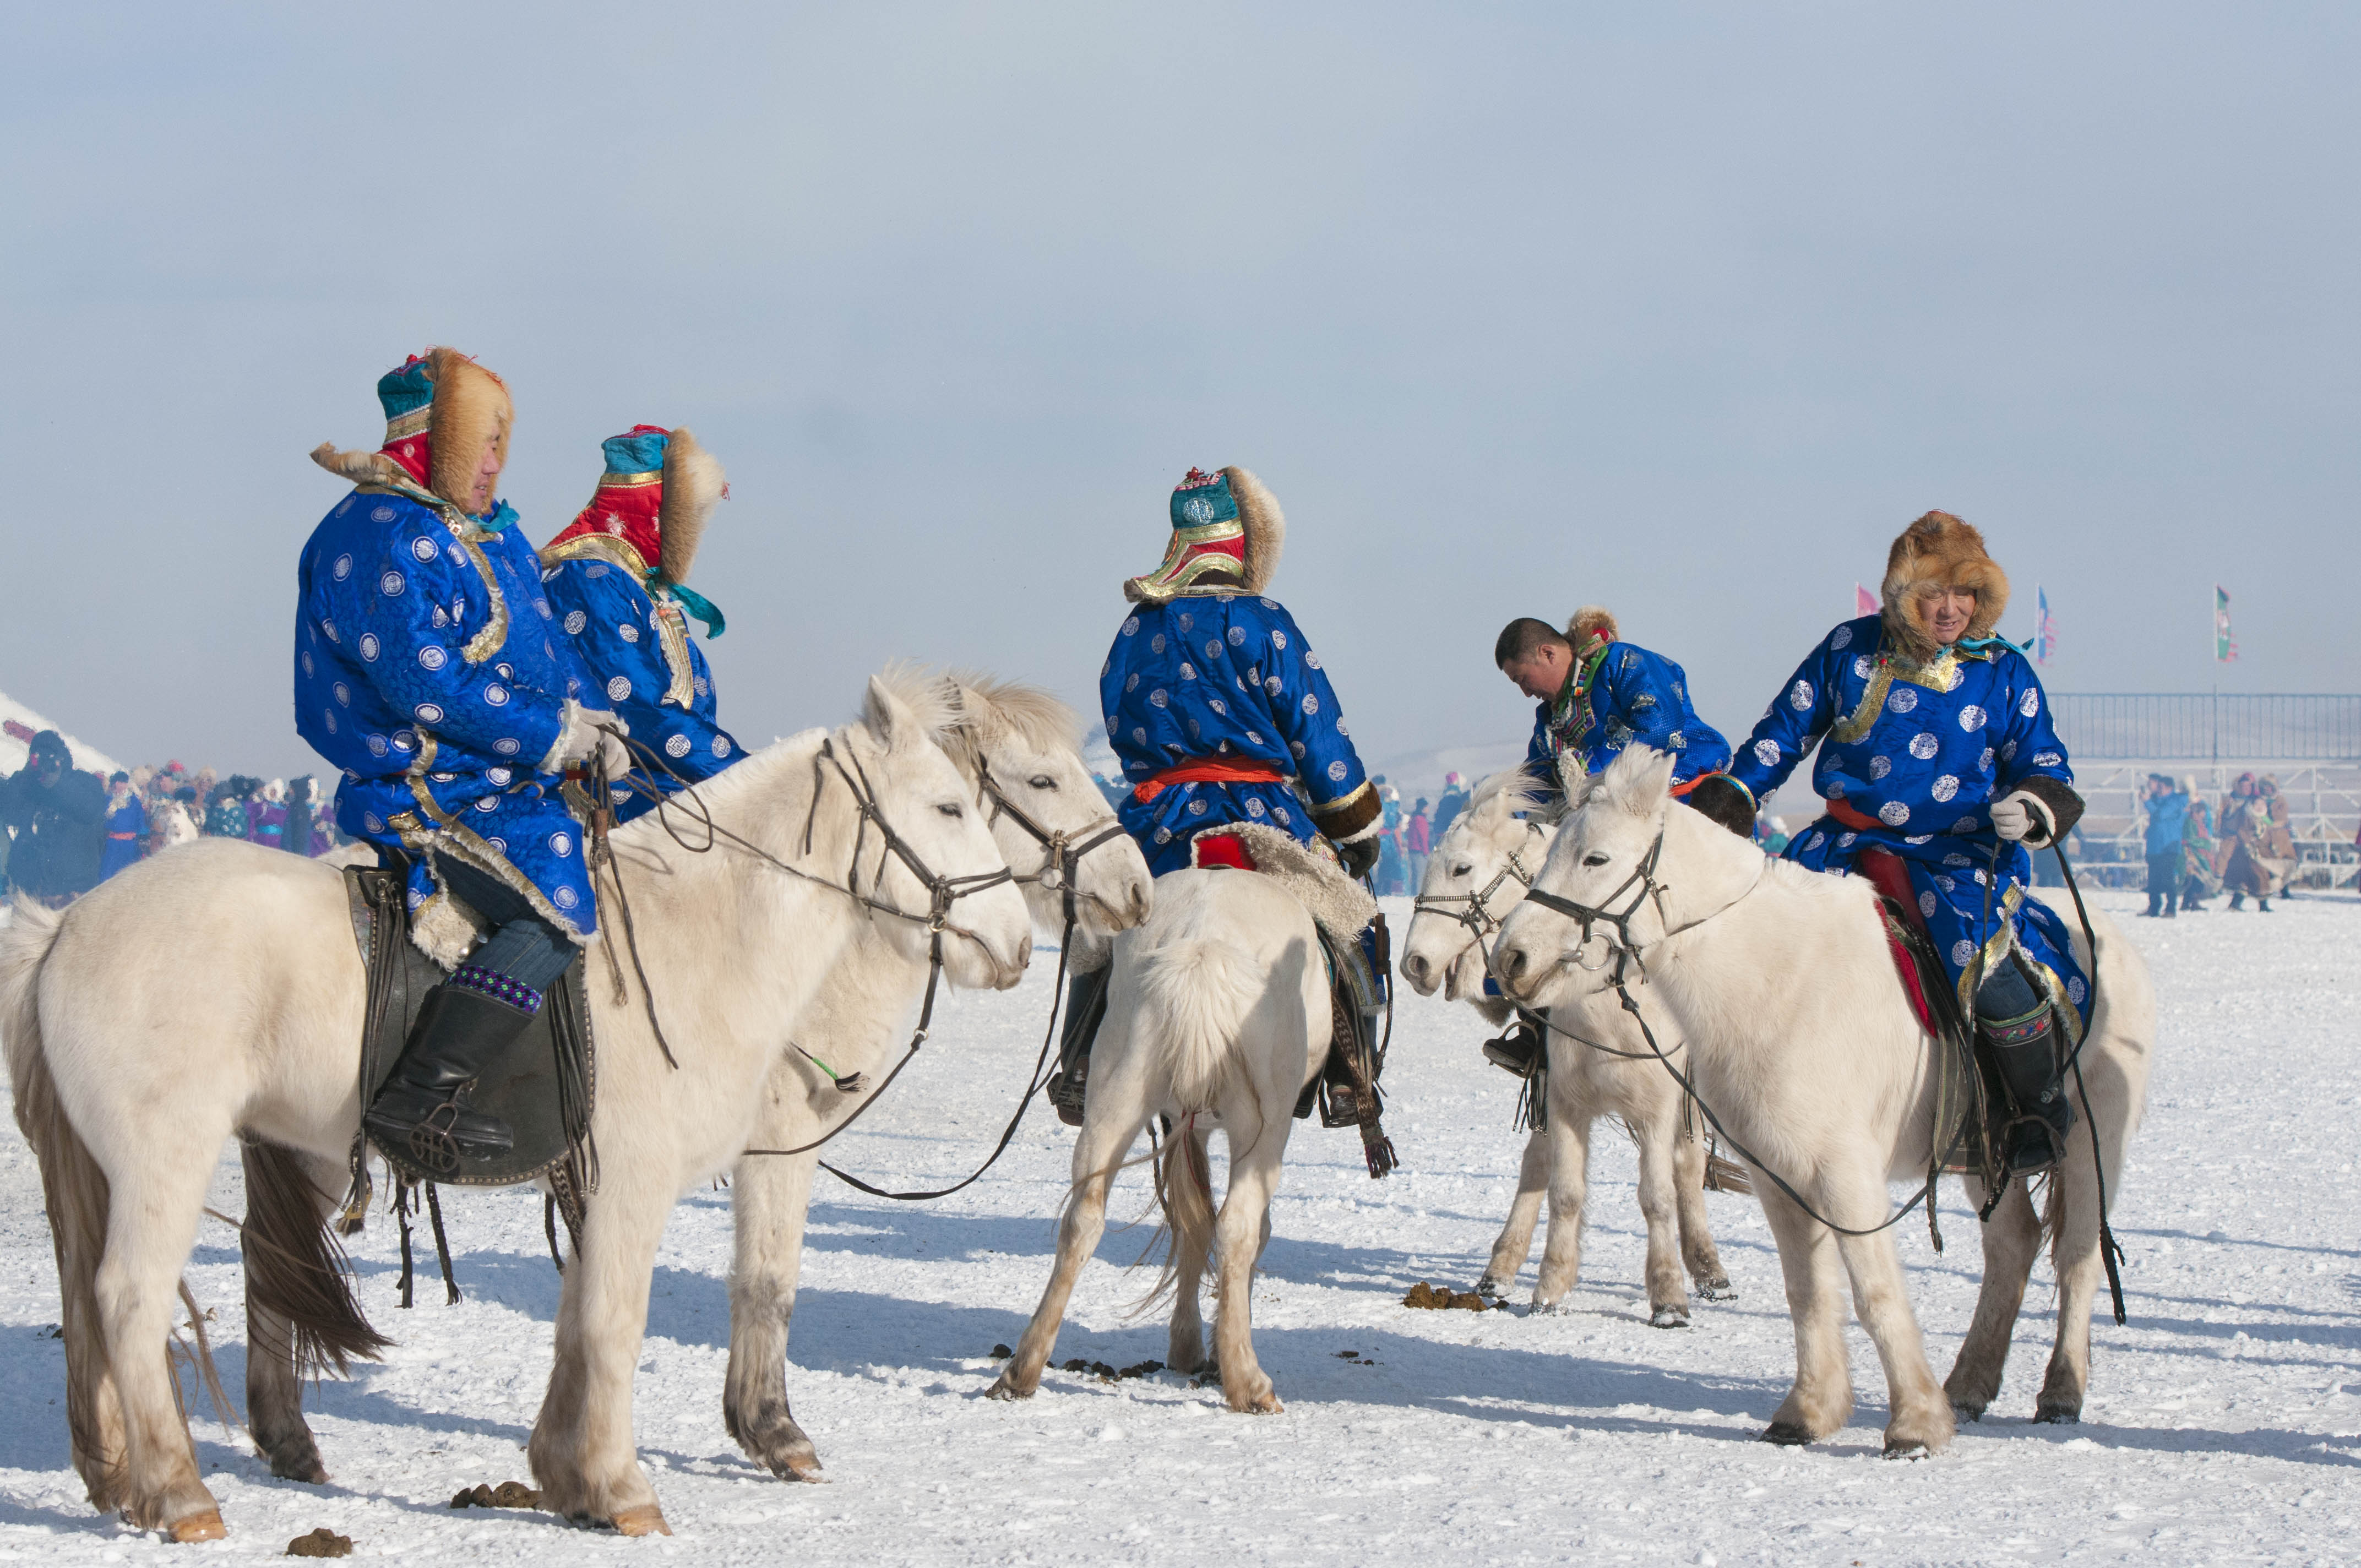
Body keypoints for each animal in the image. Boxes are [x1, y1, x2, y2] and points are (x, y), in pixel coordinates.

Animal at [2, 666, 1034, 1539]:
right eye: (948, 805)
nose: (1021, 943)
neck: (701, 934)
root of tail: (67, 924)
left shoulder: (598, 1184)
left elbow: (580, 1326)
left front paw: (567, 1477)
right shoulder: (633, 1185)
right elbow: (615, 1325)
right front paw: (621, 1487)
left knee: (112, 1301)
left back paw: (129, 1477)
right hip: (163, 1157)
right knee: (129, 1299)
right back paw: (179, 1492)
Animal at [982, 850, 1359, 1417]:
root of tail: (1202, 947)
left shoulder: (1186, 1126)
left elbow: (1191, 1221)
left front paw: (1186, 1344)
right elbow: (1231, 1227)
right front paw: (1213, 1345)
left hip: (1115, 1099)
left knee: (1084, 1219)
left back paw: (1022, 1370)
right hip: (1261, 1128)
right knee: (1240, 1226)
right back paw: (1248, 1381)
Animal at [1397, 770, 1737, 1322]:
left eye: (1461, 867)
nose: (1415, 964)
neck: (1607, 1009)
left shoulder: (1659, 1106)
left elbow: (1658, 1195)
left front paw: (1669, 1297)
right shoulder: (1561, 1095)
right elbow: (1562, 1187)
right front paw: (1547, 1286)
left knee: (1688, 1168)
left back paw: (1710, 1272)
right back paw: (1500, 1270)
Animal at [1492, 750, 2162, 1455]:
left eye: (1596, 857)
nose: (1511, 957)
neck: (1772, 977)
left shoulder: (1845, 1170)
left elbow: (1874, 1291)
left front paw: (1914, 1423)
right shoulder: (1777, 1171)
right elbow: (1808, 1291)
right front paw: (1809, 1411)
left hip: (2090, 1142)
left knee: (2077, 1256)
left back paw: (2060, 1391)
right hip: (1986, 1151)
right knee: (2013, 1244)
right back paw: (1969, 1384)